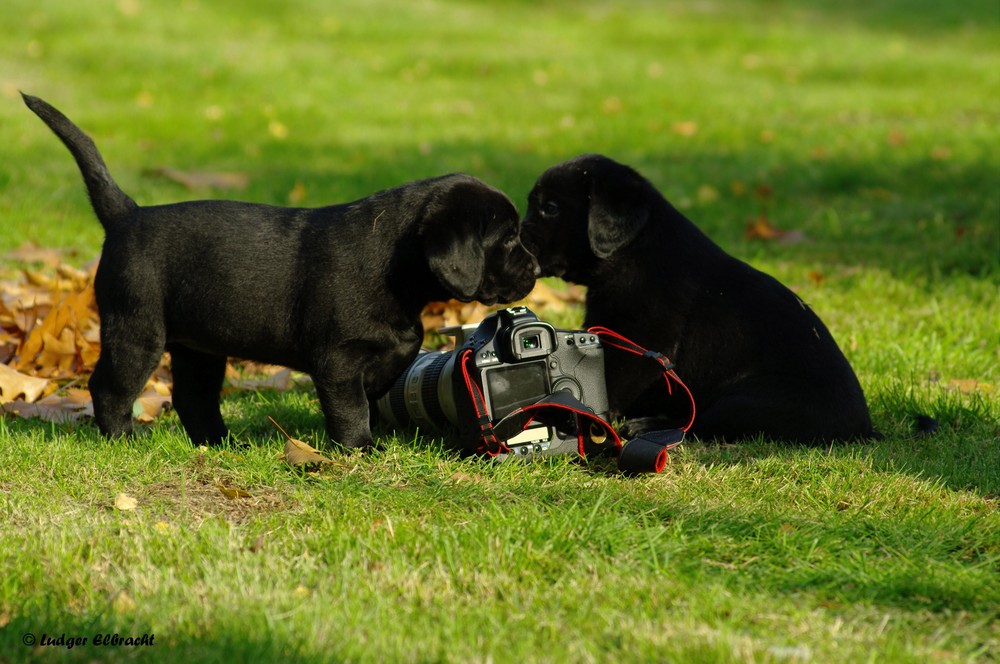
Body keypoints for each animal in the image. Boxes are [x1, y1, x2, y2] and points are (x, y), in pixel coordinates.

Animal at [21, 92, 540, 446]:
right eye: (507, 239)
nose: (536, 267)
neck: (395, 268)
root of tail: (125, 214)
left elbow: (380, 389)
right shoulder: (338, 361)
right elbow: (351, 408)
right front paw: (360, 449)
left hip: (199, 347)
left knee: (194, 397)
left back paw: (220, 443)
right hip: (136, 328)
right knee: (110, 387)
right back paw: (125, 438)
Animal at [524, 154, 876, 444]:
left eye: (550, 208)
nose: (517, 234)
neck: (634, 250)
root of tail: (867, 429)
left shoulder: (638, 339)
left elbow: (606, 384)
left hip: (748, 400)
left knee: (701, 424)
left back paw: (648, 425)